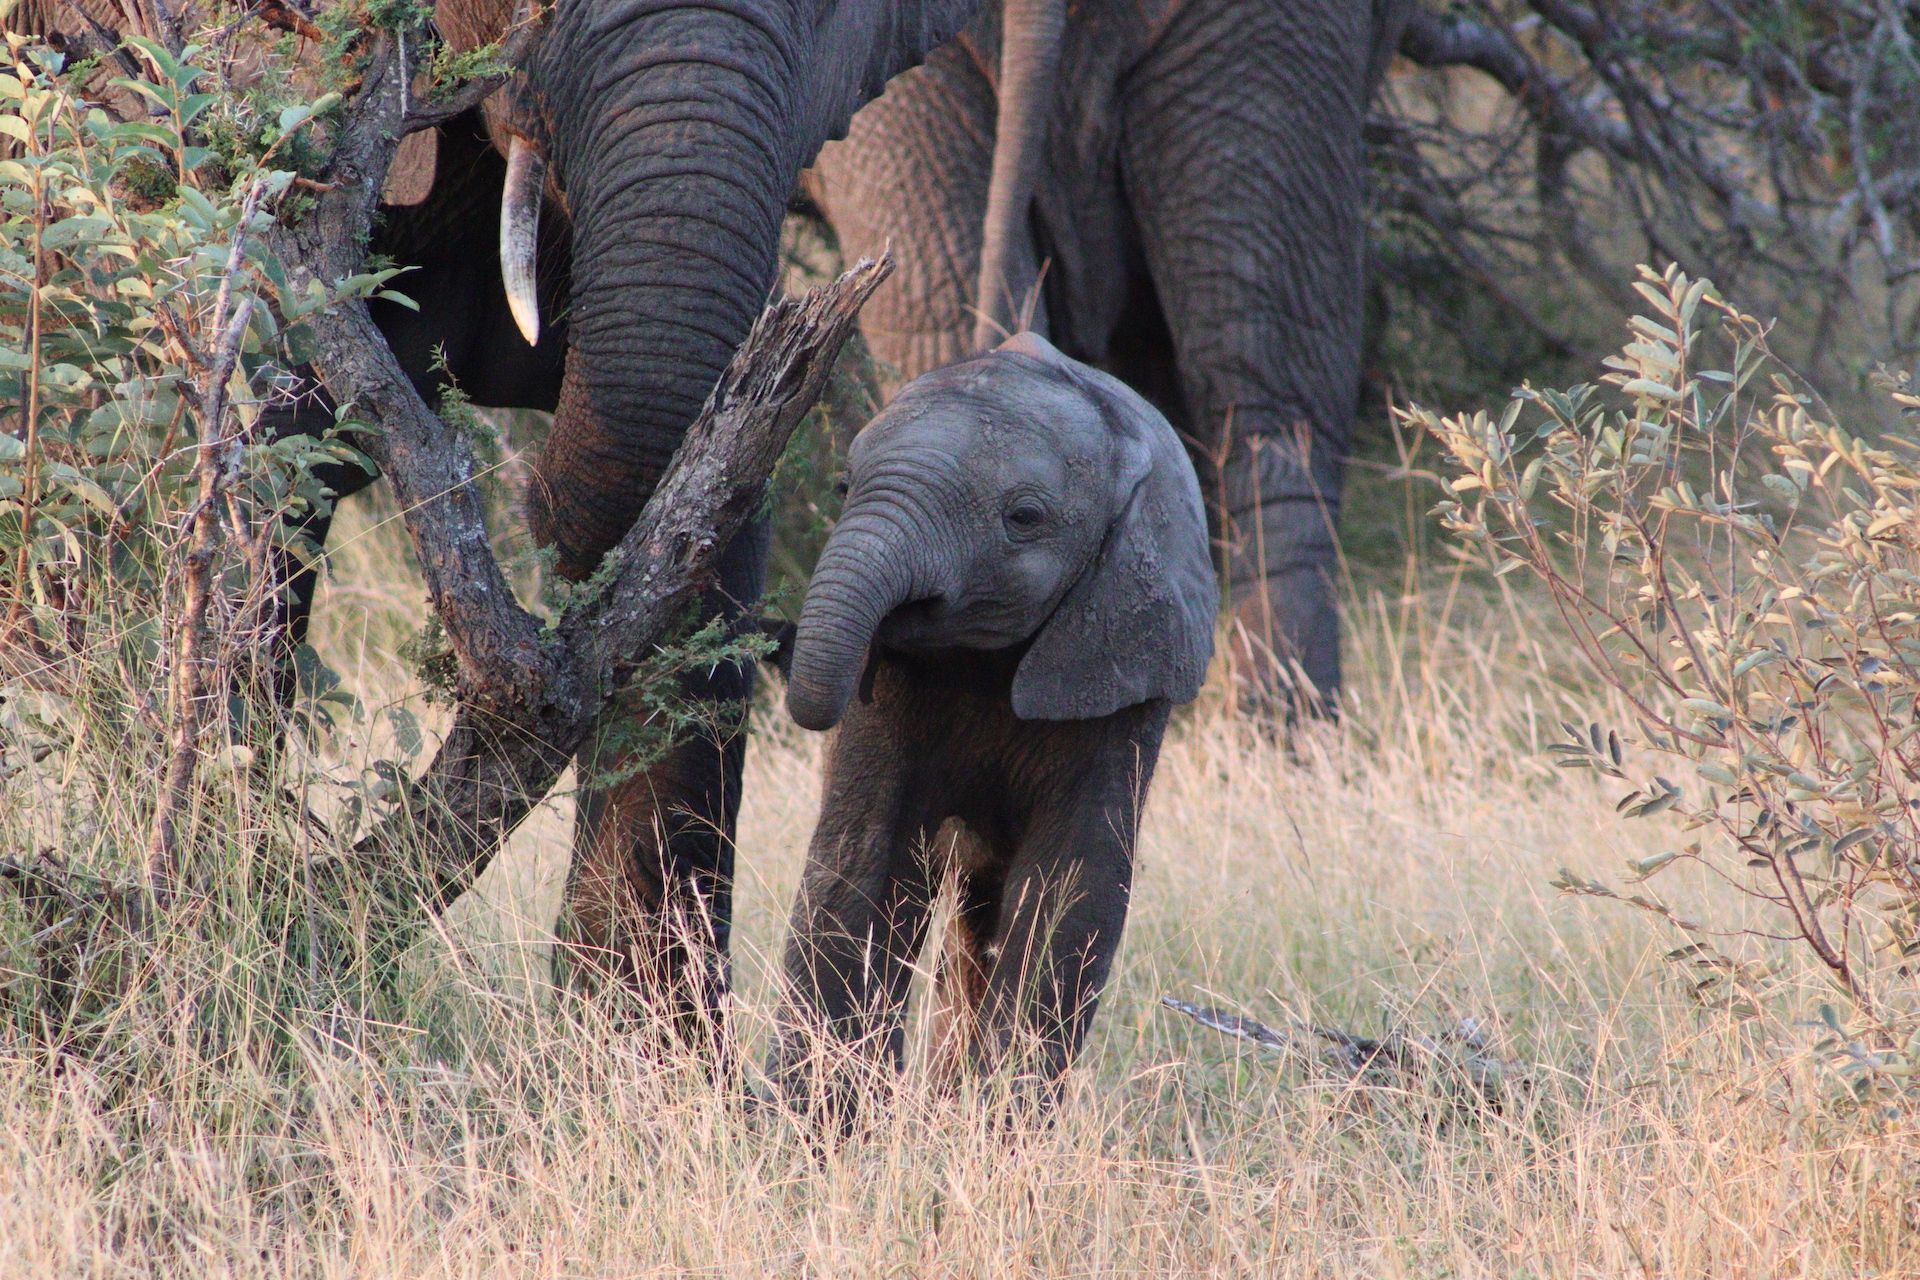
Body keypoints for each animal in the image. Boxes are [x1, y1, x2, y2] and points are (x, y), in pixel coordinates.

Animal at [769, 333, 1217, 1116]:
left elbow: (1070, 885)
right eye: (843, 486)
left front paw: (1002, 1125)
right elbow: (863, 855)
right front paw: (804, 1124)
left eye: (1025, 518)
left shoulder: (1119, 668)